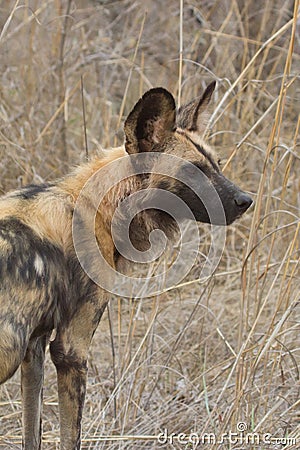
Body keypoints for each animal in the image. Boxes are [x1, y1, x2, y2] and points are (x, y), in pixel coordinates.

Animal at [0, 81, 253, 450]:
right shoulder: (71, 349)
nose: (246, 200)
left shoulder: (34, 349)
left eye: (217, 165)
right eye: (192, 171)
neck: (100, 204)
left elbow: (32, 430)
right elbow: (70, 435)